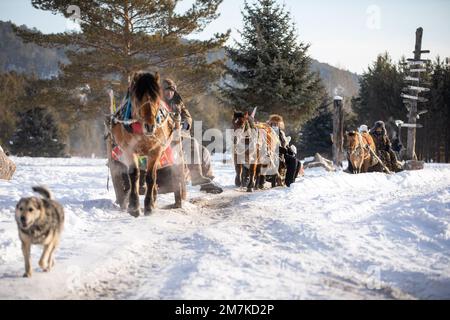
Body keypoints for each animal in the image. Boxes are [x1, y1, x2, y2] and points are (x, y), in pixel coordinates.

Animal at [109, 72, 181, 218]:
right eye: (137, 99)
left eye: (156, 98)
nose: (150, 126)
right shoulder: (129, 150)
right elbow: (134, 175)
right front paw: (134, 206)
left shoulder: (156, 150)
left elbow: (151, 177)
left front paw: (149, 206)